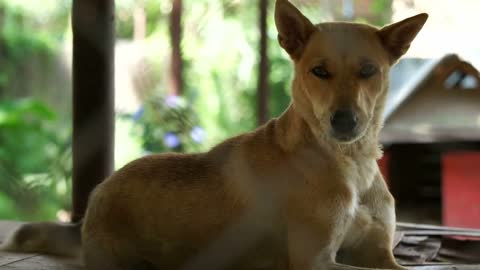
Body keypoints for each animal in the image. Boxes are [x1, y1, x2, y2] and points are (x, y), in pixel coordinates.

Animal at [0, 1, 428, 268]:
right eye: (319, 71)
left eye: (369, 70)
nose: (344, 121)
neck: (351, 162)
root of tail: (91, 203)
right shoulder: (316, 261)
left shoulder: (380, 254)